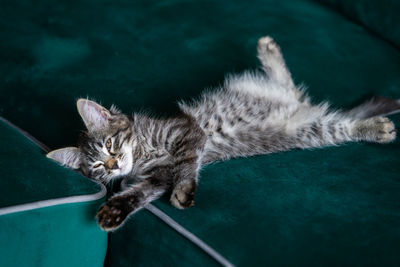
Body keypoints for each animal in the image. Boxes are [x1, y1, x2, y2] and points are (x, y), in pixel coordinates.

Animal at [47, 36, 400, 232]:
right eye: (96, 166)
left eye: (110, 144)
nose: (113, 165)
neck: (144, 154)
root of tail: (298, 107)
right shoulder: (155, 179)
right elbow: (136, 196)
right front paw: (112, 213)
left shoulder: (187, 134)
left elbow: (187, 165)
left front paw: (183, 192)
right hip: (308, 128)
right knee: (298, 92)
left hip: (313, 129)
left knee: (312, 101)